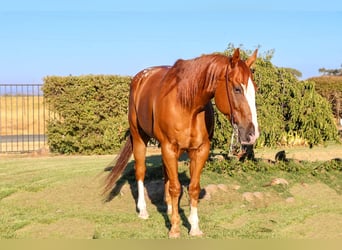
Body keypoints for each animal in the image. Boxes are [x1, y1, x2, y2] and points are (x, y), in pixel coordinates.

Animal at [104, 48, 260, 238]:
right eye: (237, 89)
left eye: (255, 89)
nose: (252, 134)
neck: (188, 104)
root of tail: (140, 78)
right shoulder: (169, 147)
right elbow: (176, 188)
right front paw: (175, 228)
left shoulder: (199, 150)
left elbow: (192, 188)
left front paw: (194, 227)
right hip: (139, 137)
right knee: (140, 171)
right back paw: (143, 211)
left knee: (166, 175)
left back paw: (170, 209)